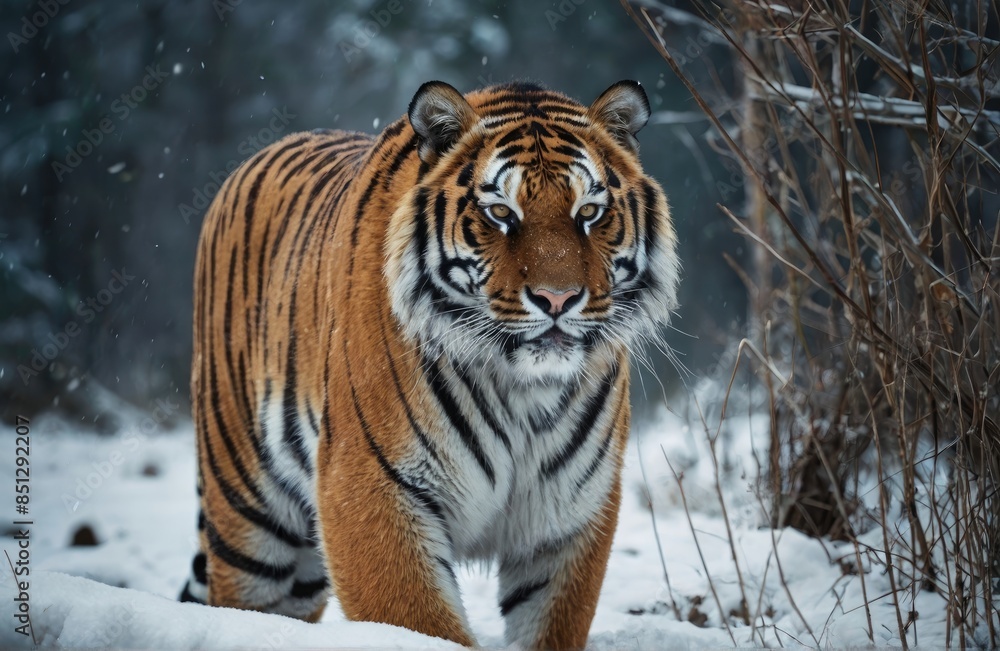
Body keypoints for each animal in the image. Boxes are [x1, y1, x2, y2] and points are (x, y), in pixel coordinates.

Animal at [178, 79, 679, 650]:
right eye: (501, 214)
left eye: (590, 212)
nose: (558, 298)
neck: (522, 388)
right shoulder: (372, 489)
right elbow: (421, 623)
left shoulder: (567, 517)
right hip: (249, 517)